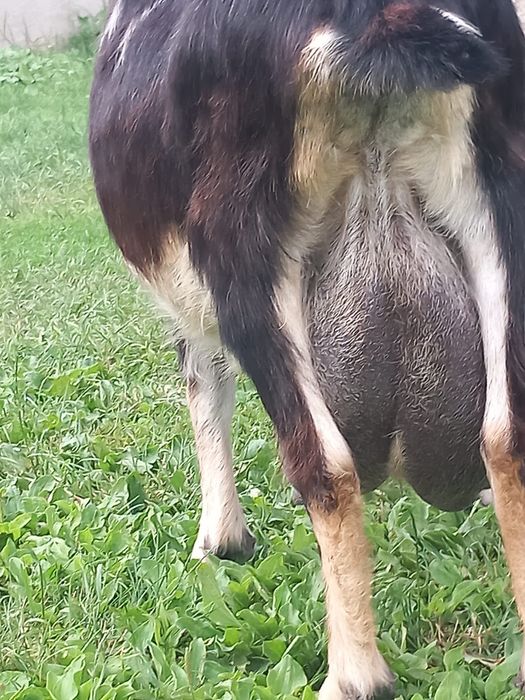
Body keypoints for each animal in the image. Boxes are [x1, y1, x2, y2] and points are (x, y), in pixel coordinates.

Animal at [89, 1, 525, 697]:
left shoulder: (196, 302)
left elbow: (204, 389)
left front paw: (219, 542)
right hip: (497, 207)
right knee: (506, 436)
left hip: (244, 256)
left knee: (325, 464)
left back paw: (353, 676)